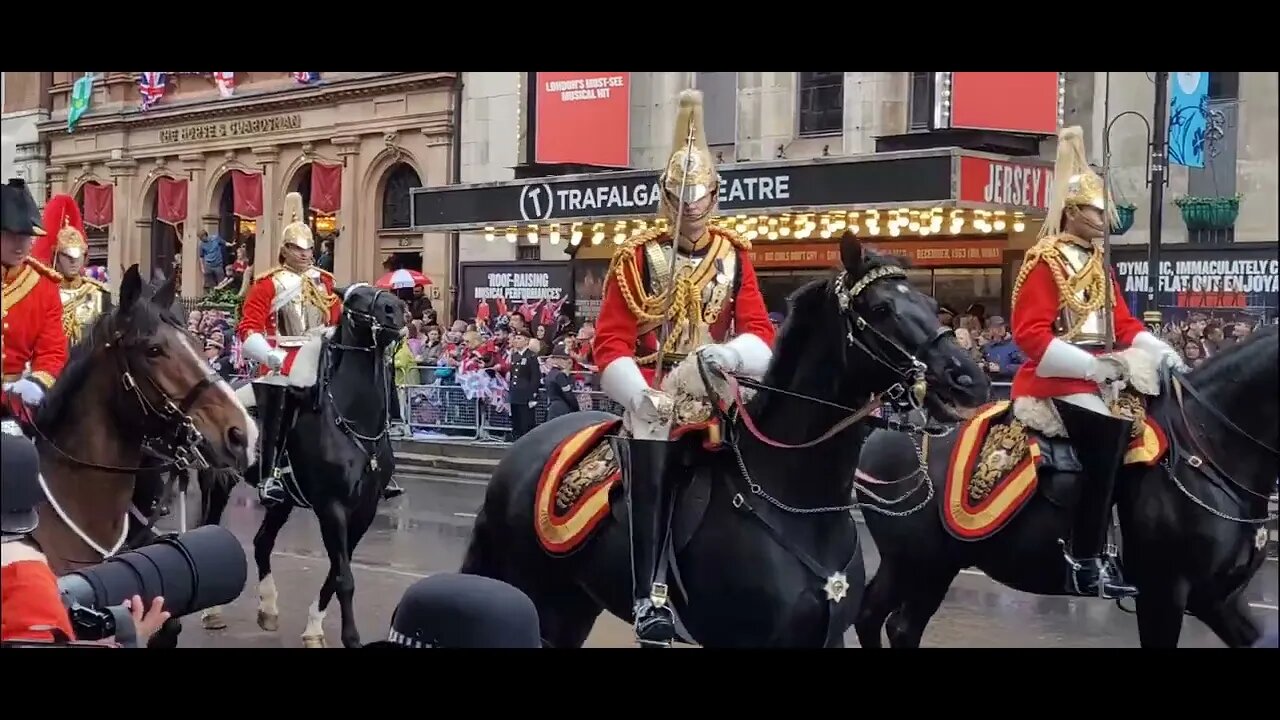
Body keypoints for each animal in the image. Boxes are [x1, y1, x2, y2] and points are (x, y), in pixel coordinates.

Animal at [212, 280, 404, 645]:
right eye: (354, 298)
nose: (396, 309)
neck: (354, 420)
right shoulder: (331, 506)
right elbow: (344, 577)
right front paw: (350, 637)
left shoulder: (365, 510)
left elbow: (337, 571)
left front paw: (314, 628)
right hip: (218, 480)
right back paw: (212, 611)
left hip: (283, 500)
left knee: (262, 543)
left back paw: (268, 609)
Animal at [460, 237, 988, 645]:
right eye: (880, 308)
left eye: (928, 304)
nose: (969, 381)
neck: (798, 503)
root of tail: (521, 451)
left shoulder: (823, 637)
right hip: (536, 595)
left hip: (572, 603)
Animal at [855, 324, 1274, 645]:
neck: (1207, 445)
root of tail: (890, 431)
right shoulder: (1163, 593)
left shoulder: (1218, 598)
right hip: (916, 562)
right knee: (879, 619)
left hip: (933, 565)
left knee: (891, 623)